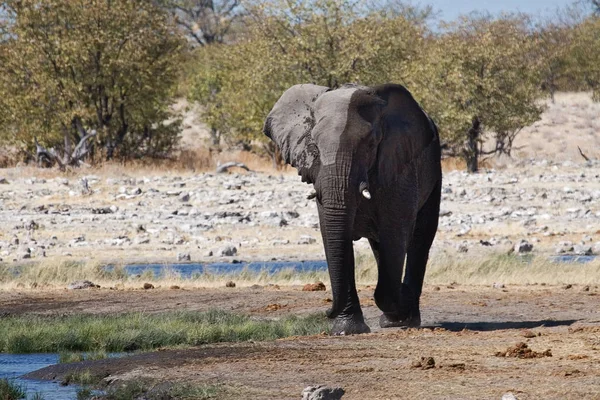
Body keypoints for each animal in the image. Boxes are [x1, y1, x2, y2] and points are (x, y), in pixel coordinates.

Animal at [264, 81, 442, 334]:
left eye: (370, 144)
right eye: (313, 146)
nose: (326, 312)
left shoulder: (399, 169)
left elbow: (395, 233)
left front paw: (401, 303)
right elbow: (333, 236)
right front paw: (347, 329)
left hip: (434, 170)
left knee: (419, 239)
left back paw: (405, 316)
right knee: (379, 246)